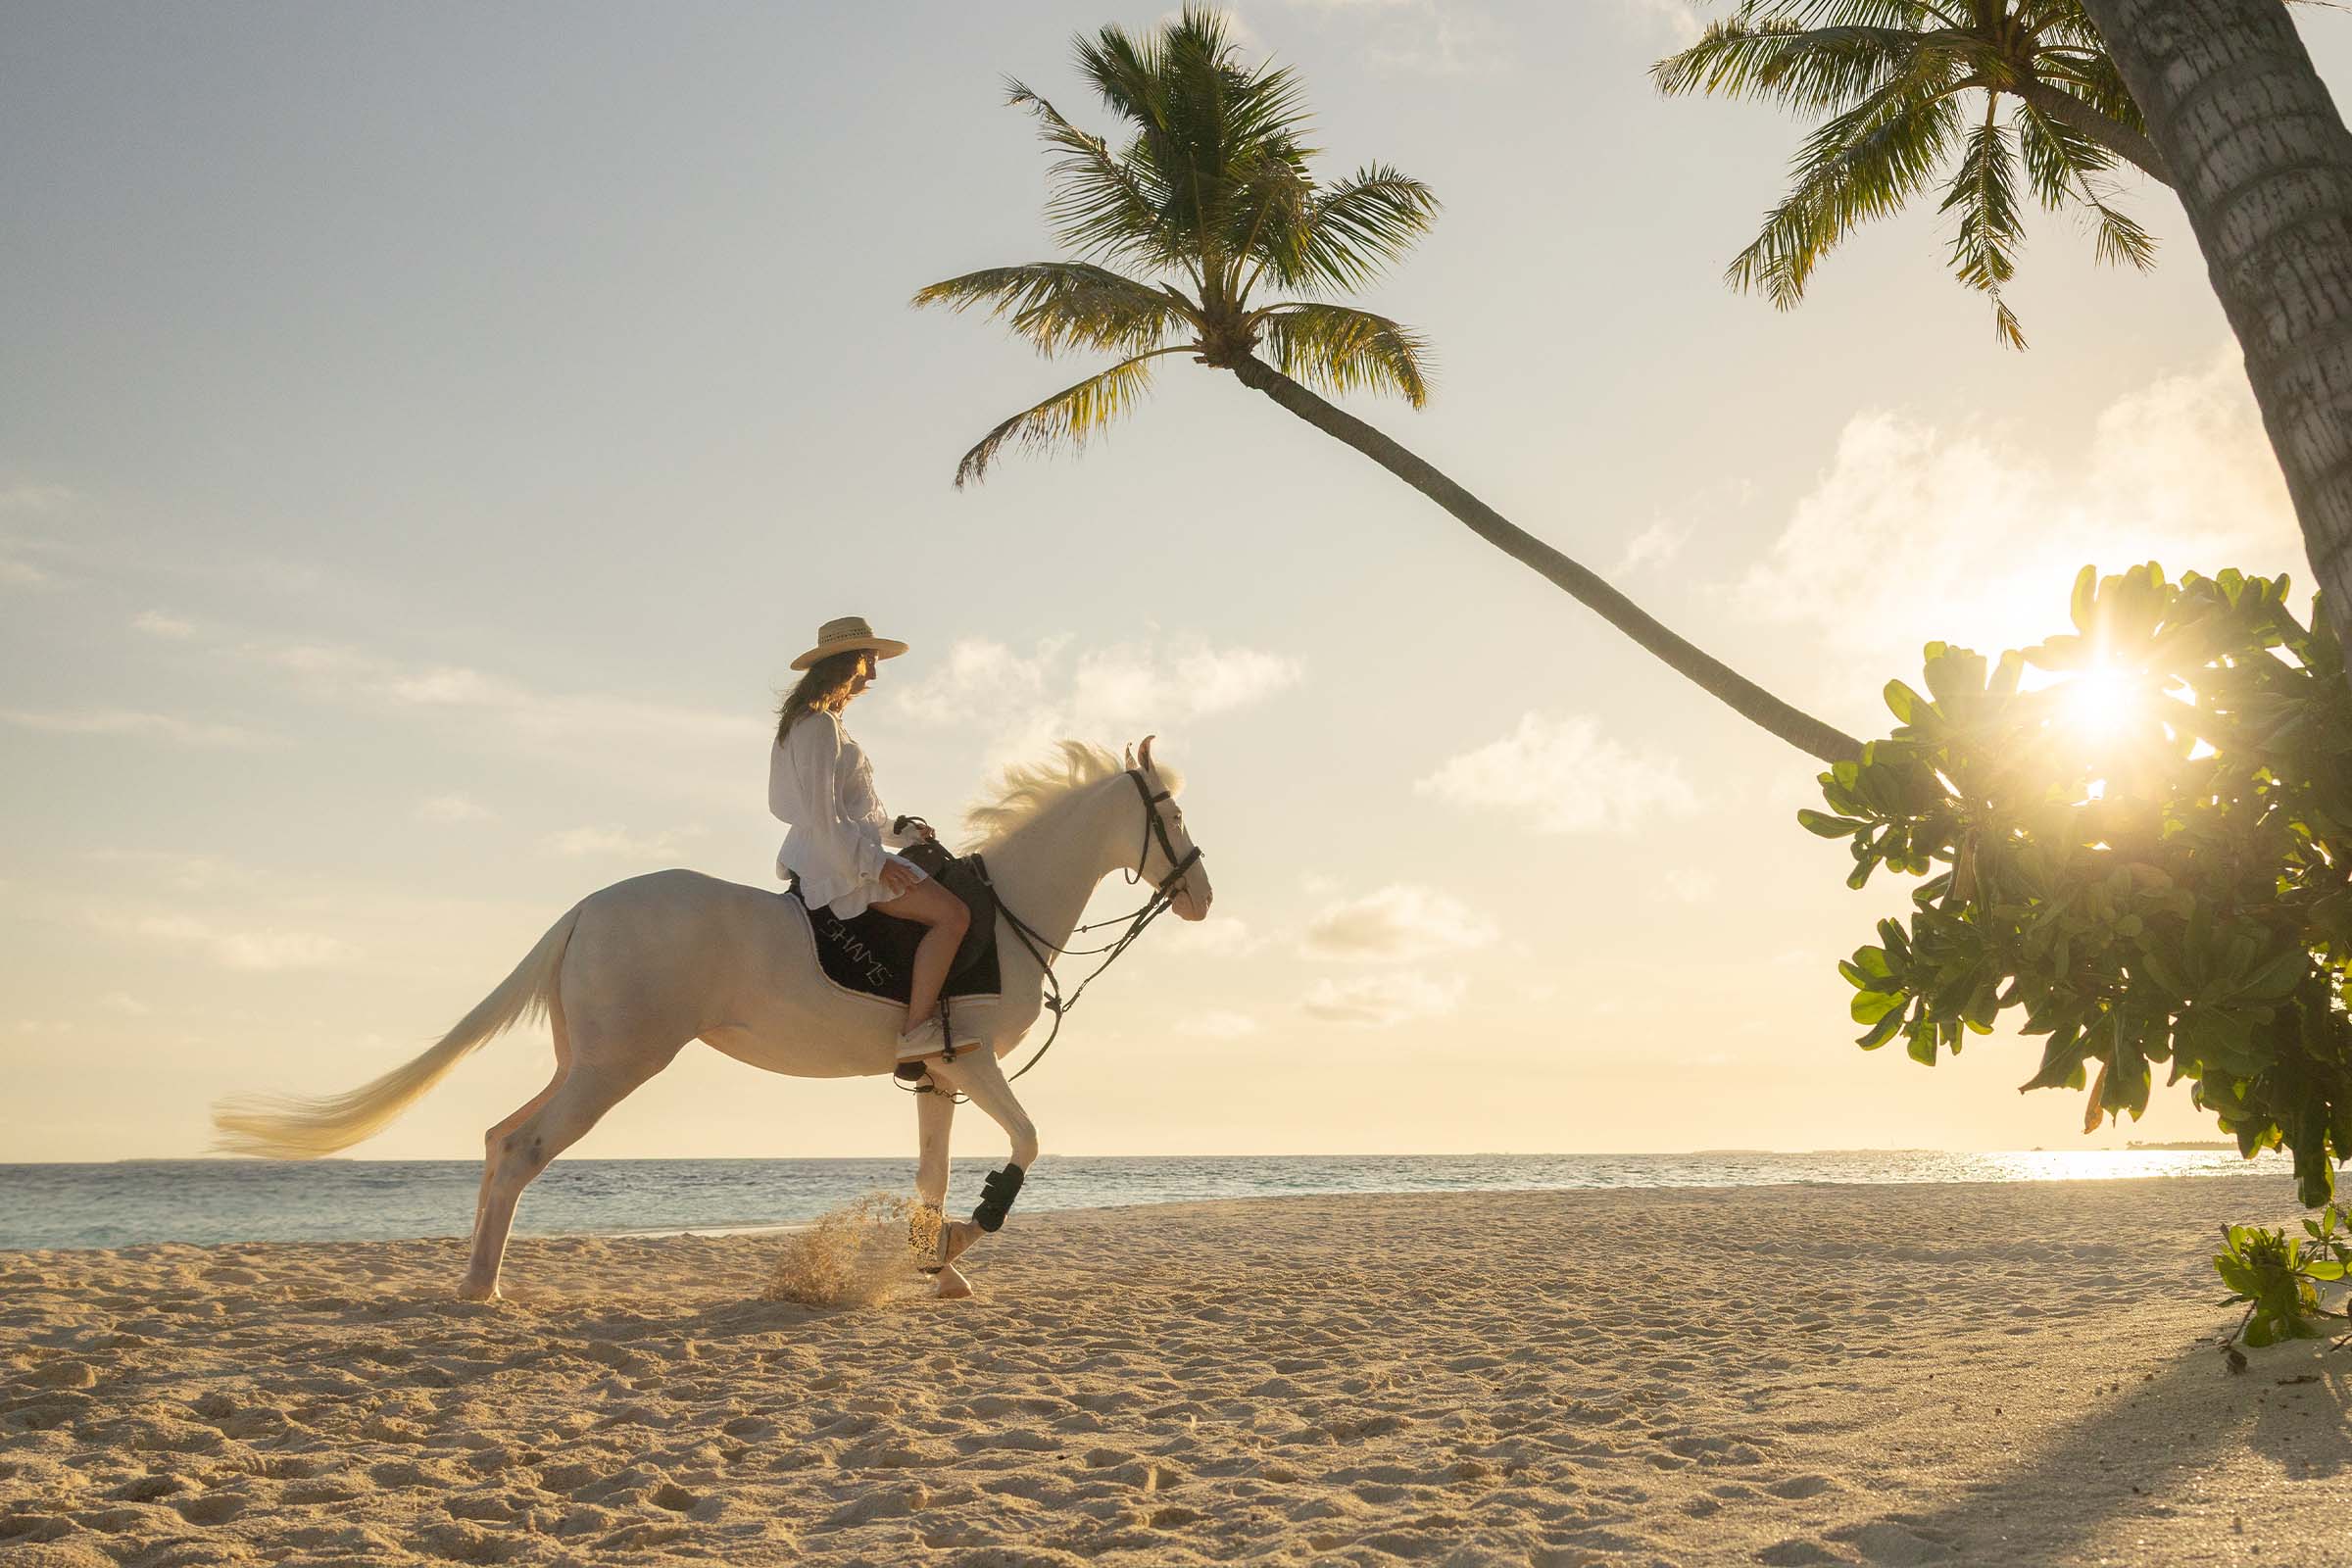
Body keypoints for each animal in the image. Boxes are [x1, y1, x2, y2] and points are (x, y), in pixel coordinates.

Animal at [210, 736, 1211, 1301]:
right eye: (1167, 808)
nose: (1202, 896)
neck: (1002, 913)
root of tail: (586, 909)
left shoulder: (936, 1075)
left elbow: (931, 1175)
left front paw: (941, 1267)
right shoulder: (971, 1063)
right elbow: (1028, 1144)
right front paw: (961, 1244)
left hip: (584, 1061)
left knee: (500, 1140)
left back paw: (475, 1282)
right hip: (616, 1068)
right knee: (524, 1151)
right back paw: (482, 1291)